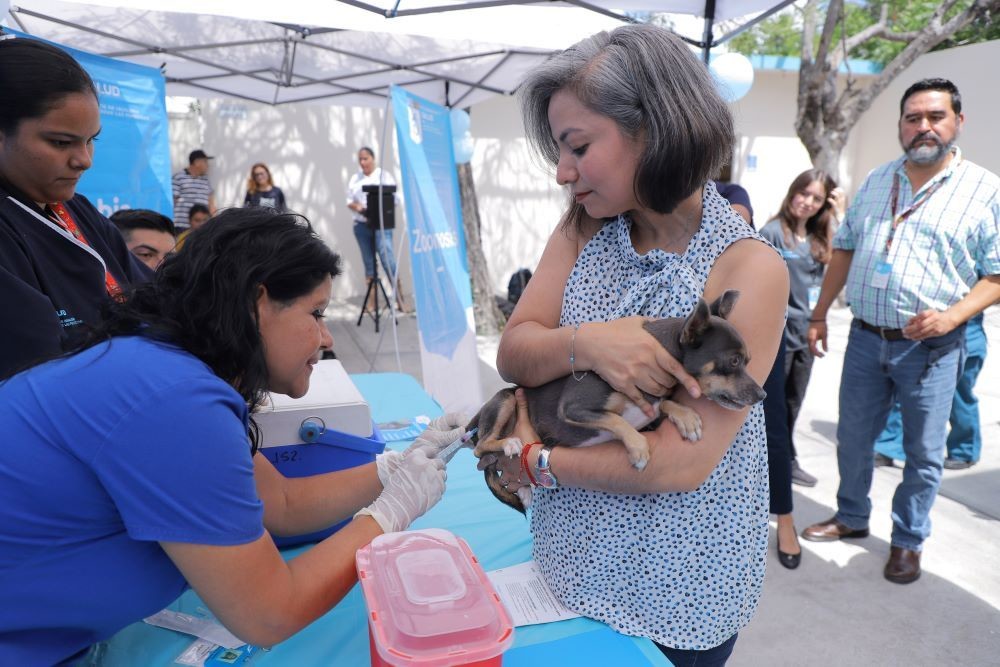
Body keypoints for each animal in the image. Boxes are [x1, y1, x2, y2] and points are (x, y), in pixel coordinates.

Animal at [466, 290, 764, 516]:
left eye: (748, 360)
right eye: (734, 361)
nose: (762, 395)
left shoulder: (649, 410)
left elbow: (661, 405)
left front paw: (685, 416)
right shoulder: (574, 409)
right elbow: (616, 419)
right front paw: (638, 448)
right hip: (505, 401)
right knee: (480, 447)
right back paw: (508, 444)